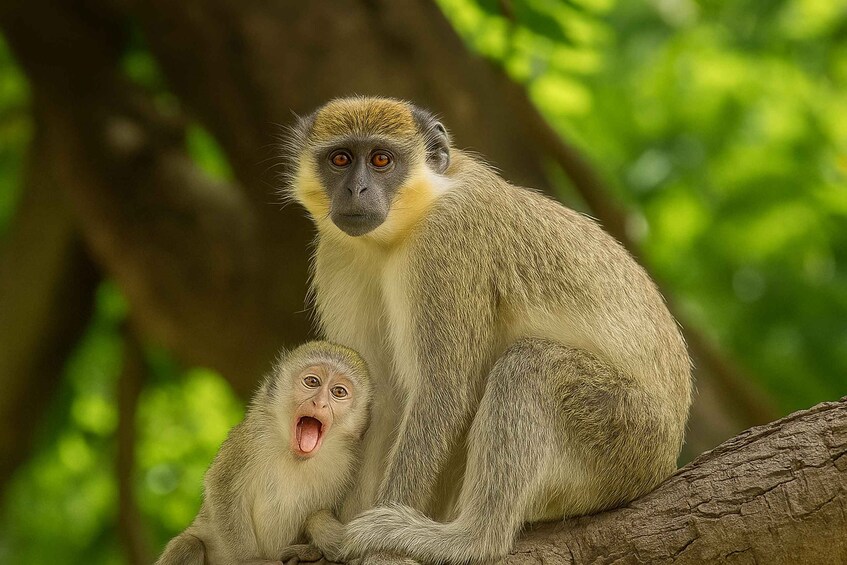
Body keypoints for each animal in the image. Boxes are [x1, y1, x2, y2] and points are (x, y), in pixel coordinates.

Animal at [155, 341, 372, 565]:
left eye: (338, 392)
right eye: (312, 381)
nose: (319, 403)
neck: (296, 457)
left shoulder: (345, 463)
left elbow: (319, 515)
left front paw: (323, 532)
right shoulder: (253, 437)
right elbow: (221, 486)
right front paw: (249, 560)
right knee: (189, 546)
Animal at [286, 96, 692, 564]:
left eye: (381, 160)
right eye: (340, 159)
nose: (357, 191)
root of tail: (665, 460)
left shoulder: (448, 239)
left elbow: (442, 390)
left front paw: (380, 549)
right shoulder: (337, 254)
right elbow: (380, 395)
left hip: (628, 438)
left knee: (530, 368)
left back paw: (470, 540)